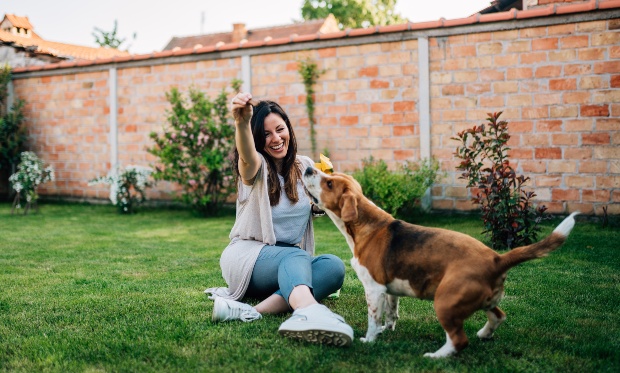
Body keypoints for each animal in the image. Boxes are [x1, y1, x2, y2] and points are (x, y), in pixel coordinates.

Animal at [302, 167, 580, 356]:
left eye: (328, 182)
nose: (307, 169)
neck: (366, 226)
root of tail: (497, 258)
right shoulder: (389, 290)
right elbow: (390, 314)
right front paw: (386, 330)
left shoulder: (373, 289)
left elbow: (373, 319)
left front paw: (370, 340)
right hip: (483, 301)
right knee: (498, 316)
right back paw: (484, 334)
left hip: (445, 302)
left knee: (459, 340)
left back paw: (436, 357)